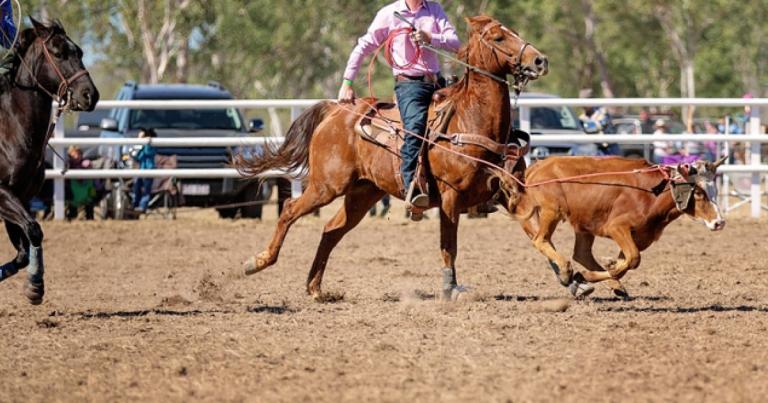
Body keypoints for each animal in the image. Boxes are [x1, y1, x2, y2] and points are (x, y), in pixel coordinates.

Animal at [0, 18, 99, 304]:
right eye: (58, 53)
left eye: (80, 52)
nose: (90, 95)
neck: (10, 128)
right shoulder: (2, 193)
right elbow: (33, 230)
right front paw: (35, 284)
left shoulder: (20, 197)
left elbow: (25, 246)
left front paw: (34, 286)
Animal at [237, 15, 548, 300]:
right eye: (499, 38)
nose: (540, 60)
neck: (471, 119)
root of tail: (336, 110)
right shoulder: (450, 198)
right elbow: (449, 245)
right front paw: (450, 288)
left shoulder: (508, 193)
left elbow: (538, 233)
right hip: (327, 186)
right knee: (290, 210)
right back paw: (258, 262)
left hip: (362, 193)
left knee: (331, 230)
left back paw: (315, 288)